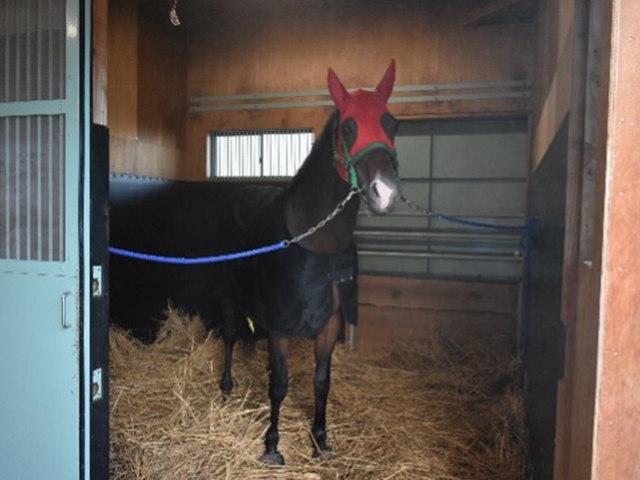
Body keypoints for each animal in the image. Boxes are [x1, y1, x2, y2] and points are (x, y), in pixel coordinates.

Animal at [218, 61, 402, 464]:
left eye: (392, 123)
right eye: (348, 127)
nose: (385, 193)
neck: (317, 240)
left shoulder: (331, 323)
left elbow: (321, 382)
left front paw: (320, 439)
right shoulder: (281, 327)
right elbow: (279, 385)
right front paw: (272, 444)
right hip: (229, 299)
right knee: (229, 336)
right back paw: (225, 386)